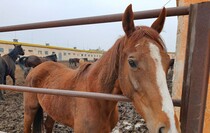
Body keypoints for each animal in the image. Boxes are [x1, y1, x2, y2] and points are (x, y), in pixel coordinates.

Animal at [23, 4, 180, 133]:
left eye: (168, 62)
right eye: (132, 62)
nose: (169, 127)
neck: (96, 98)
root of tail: (39, 66)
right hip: (30, 110)